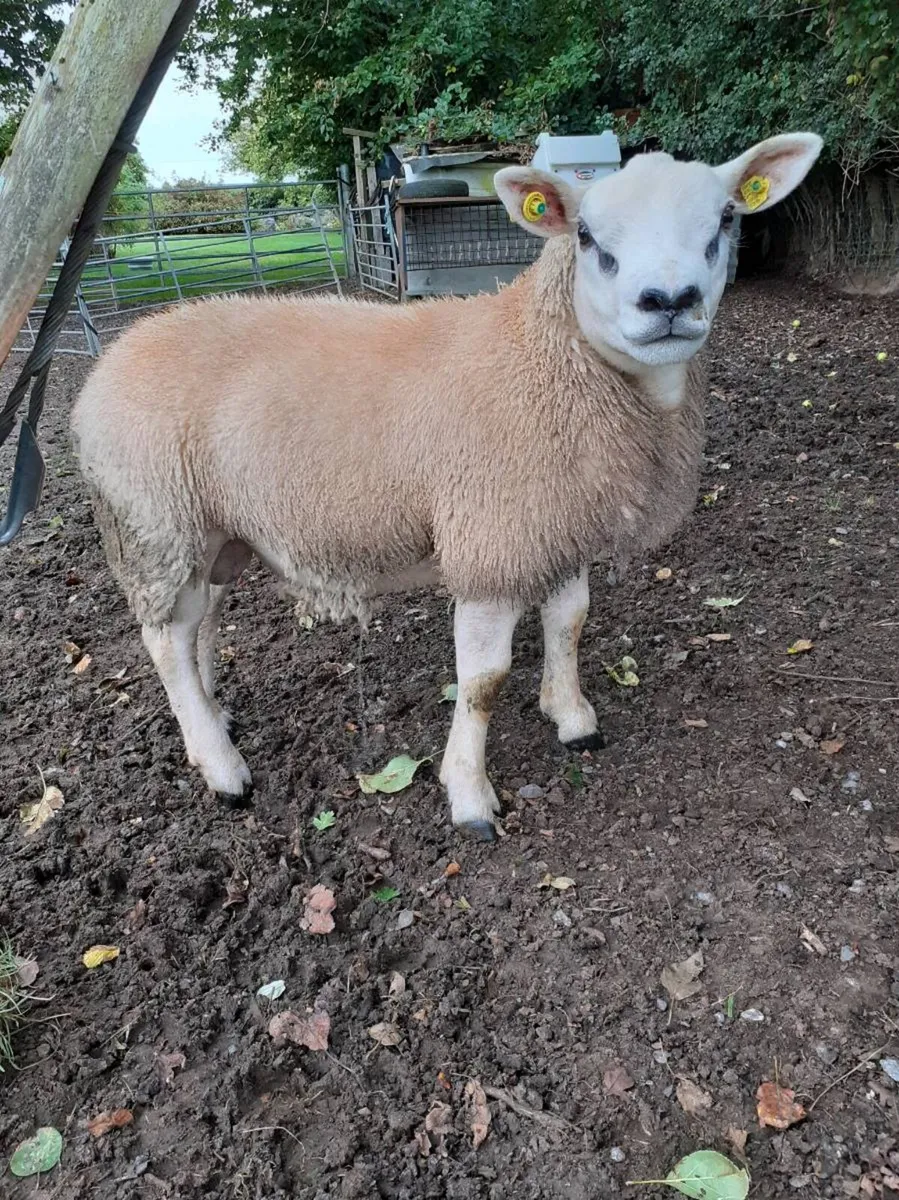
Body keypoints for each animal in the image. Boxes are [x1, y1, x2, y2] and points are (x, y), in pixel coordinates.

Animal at [71, 131, 822, 841]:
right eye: (585, 235)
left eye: (725, 218)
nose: (668, 301)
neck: (541, 355)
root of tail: (109, 364)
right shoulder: (492, 540)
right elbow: (483, 683)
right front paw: (469, 796)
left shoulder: (556, 520)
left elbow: (570, 621)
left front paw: (571, 716)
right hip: (153, 519)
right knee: (166, 640)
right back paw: (222, 769)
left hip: (209, 530)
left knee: (200, 623)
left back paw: (212, 717)